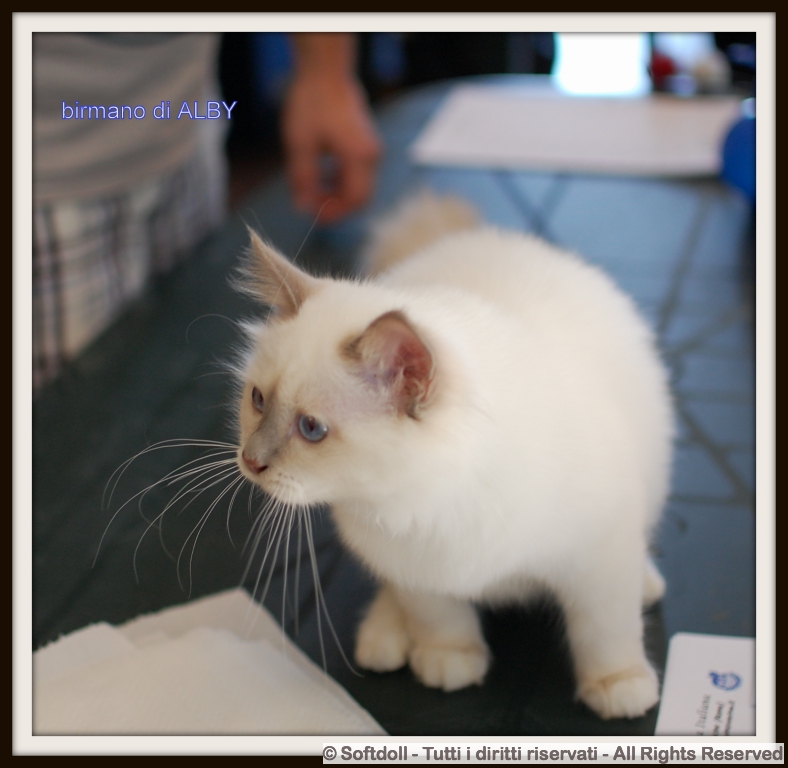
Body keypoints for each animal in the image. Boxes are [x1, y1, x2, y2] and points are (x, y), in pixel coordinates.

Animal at [234, 191, 674, 720]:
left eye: (311, 429)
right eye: (259, 401)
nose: (250, 460)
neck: (427, 499)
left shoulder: (598, 557)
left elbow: (606, 630)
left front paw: (618, 686)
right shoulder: (414, 566)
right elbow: (439, 618)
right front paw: (450, 662)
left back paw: (648, 583)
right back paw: (383, 638)